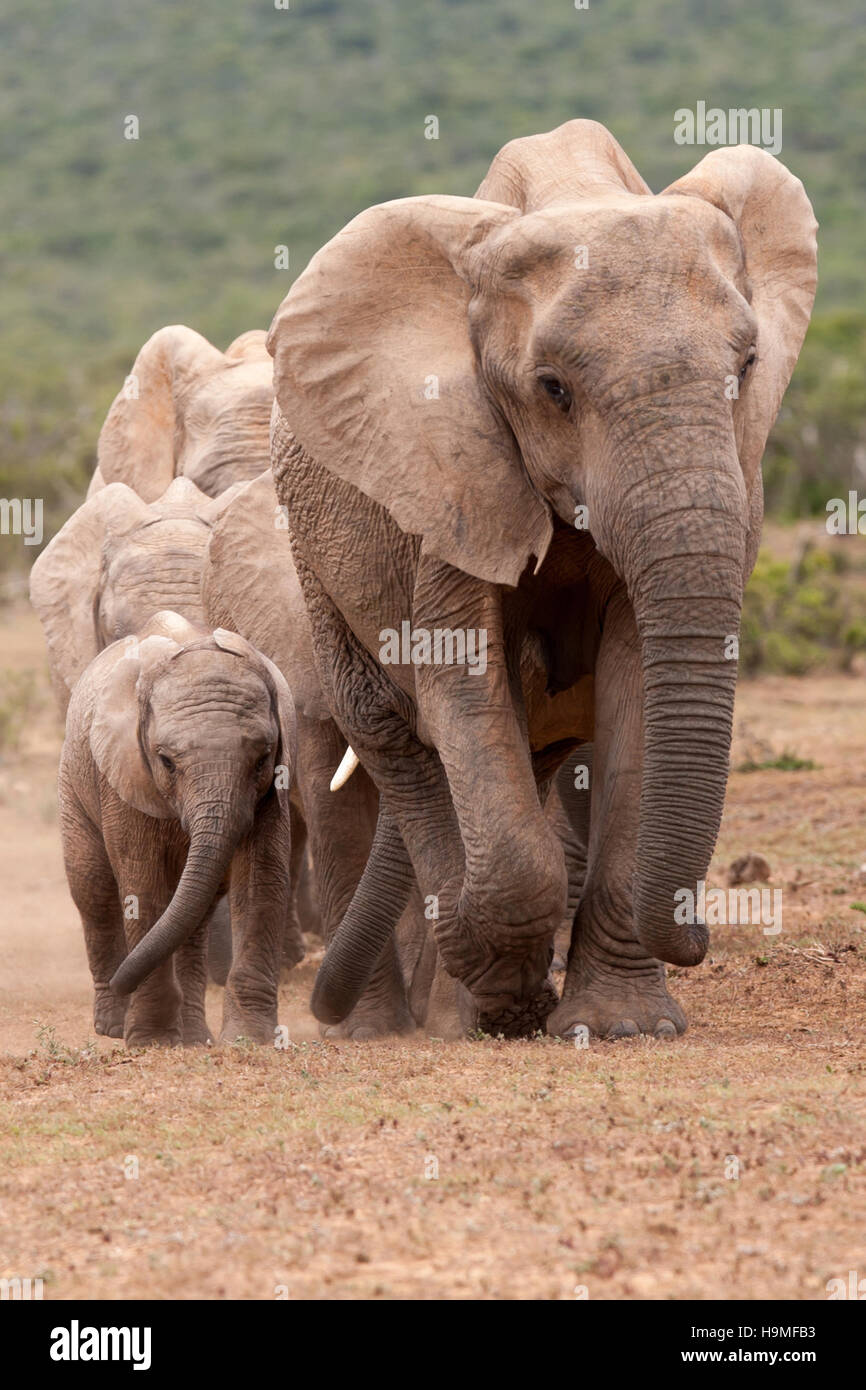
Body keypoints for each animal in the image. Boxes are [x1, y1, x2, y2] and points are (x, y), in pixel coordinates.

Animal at [57, 608, 296, 1045]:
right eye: (166, 761)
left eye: (262, 758)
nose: (124, 983)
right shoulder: (123, 776)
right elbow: (143, 885)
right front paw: (151, 1040)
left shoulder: (277, 782)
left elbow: (261, 880)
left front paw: (249, 1040)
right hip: (74, 783)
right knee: (94, 890)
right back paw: (113, 1027)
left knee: (194, 915)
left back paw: (194, 1036)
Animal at [268, 125, 817, 1045]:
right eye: (552, 389)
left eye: (746, 367)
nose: (703, 933)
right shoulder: (451, 476)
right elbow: (462, 677)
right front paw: (513, 1003)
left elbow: (636, 681)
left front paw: (624, 1026)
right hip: (316, 561)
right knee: (398, 740)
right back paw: (473, 994)